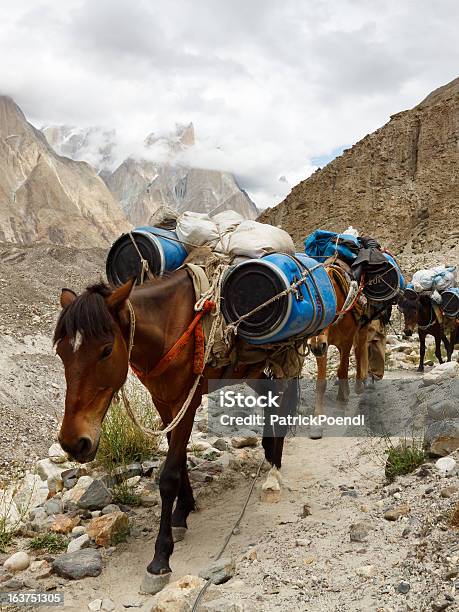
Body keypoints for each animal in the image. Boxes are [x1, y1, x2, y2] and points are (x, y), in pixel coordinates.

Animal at [53, 274, 298, 592]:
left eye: (106, 350)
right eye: (61, 352)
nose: (73, 443)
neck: (167, 328)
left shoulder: (186, 401)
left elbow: (169, 475)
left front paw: (160, 558)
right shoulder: (163, 401)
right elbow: (179, 460)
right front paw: (182, 513)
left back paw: (274, 471)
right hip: (250, 369)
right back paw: (270, 452)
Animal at [308, 266, 368, 436]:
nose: (315, 346)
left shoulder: (346, 341)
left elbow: (342, 370)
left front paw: (340, 404)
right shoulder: (322, 347)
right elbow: (321, 382)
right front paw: (317, 422)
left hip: (362, 329)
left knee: (359, 351)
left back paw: (358, 385)